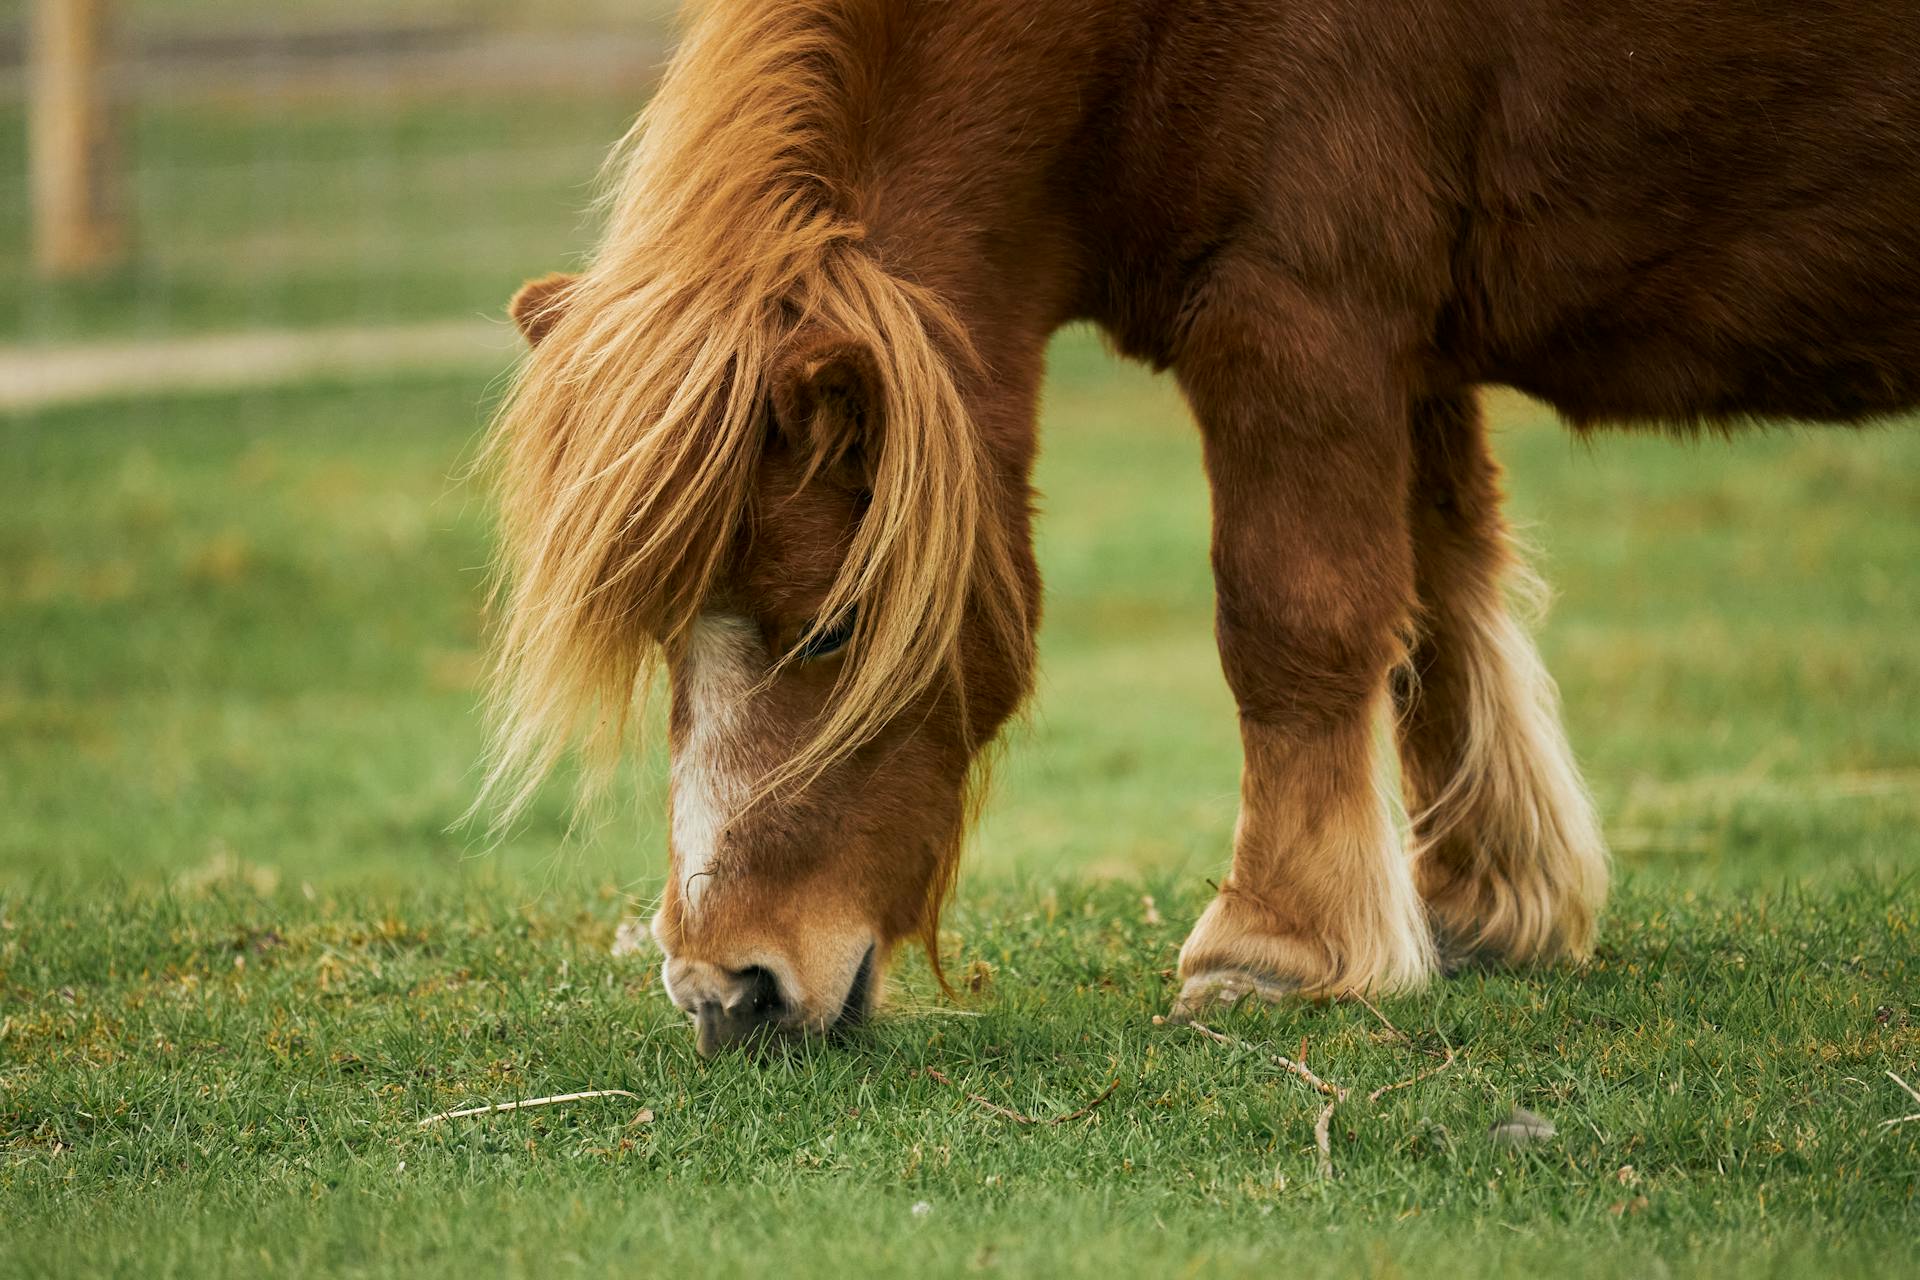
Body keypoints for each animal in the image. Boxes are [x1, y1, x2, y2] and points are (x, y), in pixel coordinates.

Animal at [483, 0, 1920, 1055]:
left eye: (833, 628)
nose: (729, 988)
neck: (1135, 34)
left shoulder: (1298, 304)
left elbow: (1297, 615)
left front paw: (1276, 946)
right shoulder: (1410, 346)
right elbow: (1439, 607)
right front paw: (1485, 906)